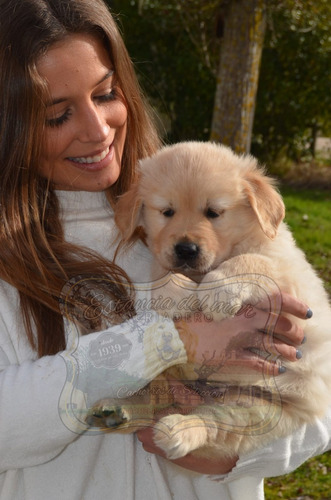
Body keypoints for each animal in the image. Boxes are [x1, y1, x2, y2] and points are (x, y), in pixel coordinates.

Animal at [89, 141, 331, 460]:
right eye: (167, 211)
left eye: (213, 212)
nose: (186, 249)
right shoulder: (162, 260)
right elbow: (163, 273)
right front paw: (175, 295)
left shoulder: (293, 282)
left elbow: (253, 261)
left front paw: (219, 290)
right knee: (157, 395)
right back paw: (119, 410)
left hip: (254, 407)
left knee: (213, 423)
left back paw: (178, 430)